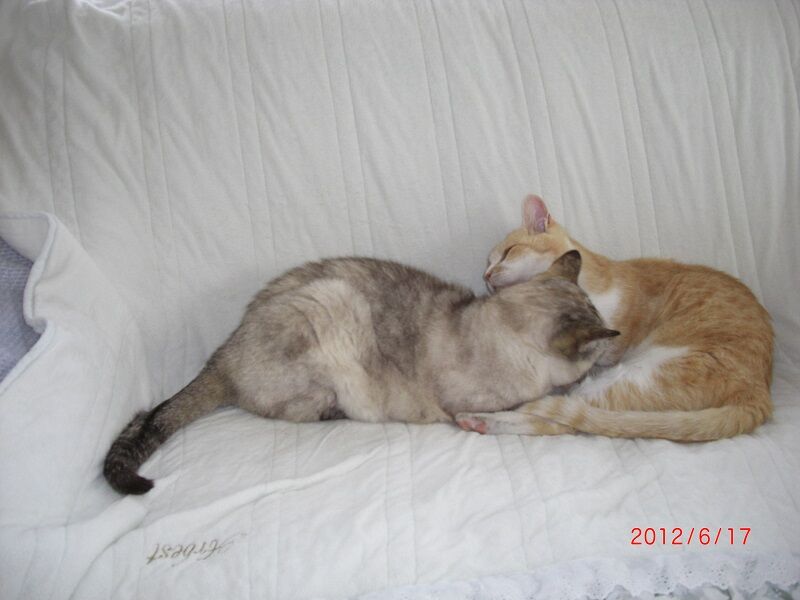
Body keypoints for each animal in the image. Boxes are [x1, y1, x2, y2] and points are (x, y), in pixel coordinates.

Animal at [104, 251, 618, 494]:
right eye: (596, 352)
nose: (614, 354)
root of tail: (224, 349)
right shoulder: (482, 402)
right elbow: (533, 411)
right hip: (330, 308)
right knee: (297, 411)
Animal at [455, 195, 774, 442]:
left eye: (508, 253)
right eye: (488, 263)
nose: (486, 275)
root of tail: (758, 393)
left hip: (638, 376)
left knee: (561, 417)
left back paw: (481, 417)